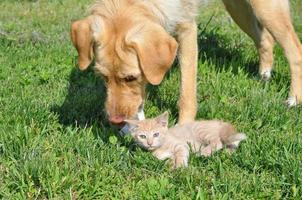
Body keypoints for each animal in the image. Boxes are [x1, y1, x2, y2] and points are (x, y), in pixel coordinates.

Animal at [71, 0, 302, 125]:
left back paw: (293, 99)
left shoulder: (187, 28)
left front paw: (184, 127)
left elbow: (186, 93)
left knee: (295, 51)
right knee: (265, 39)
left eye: (130, 77)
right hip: (237, 7)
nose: (115, 121)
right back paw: (264, 75)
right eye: (103, 77)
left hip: (266, 9)